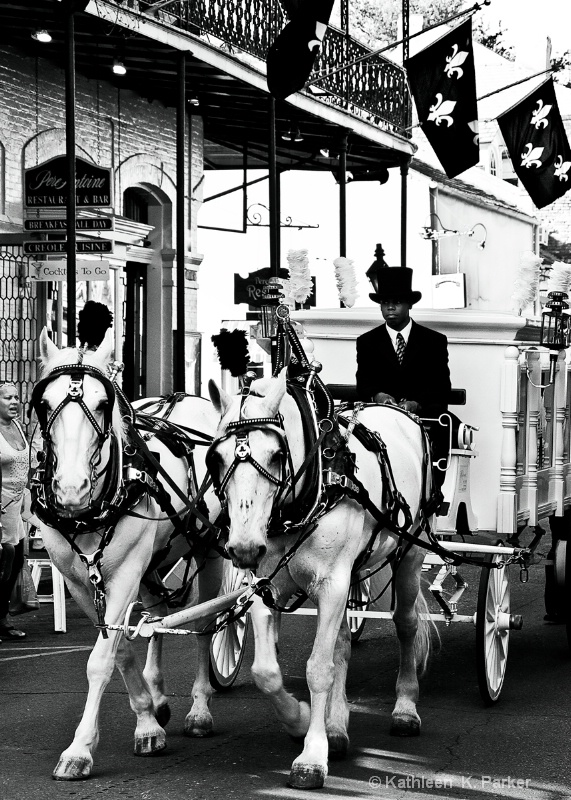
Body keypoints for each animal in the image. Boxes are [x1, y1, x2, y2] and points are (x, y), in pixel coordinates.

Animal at [34, 328, 225, 780]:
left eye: (104, 404)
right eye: (44, 404)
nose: (71, 489)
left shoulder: (123, 574)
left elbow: (100, 660)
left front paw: (79, 750)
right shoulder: (78, 579)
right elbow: (119, 649)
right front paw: (147, 719)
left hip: (208, 550)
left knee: (205, 623)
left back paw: (200, 709)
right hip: (153, 561)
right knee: (156, 616)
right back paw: (158, 697)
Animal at [210, 372, 434, 792]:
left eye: (276, 455)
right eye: (215, 458)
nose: (243, 547)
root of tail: (396, 406)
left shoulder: (332, 584)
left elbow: (318, 669)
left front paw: (312, 757)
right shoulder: (265, 586)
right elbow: (266, 672)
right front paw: (300, 720)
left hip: (409, 555)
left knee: (406, 625)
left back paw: (405, 707)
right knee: (343, 644)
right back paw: (336, 726)